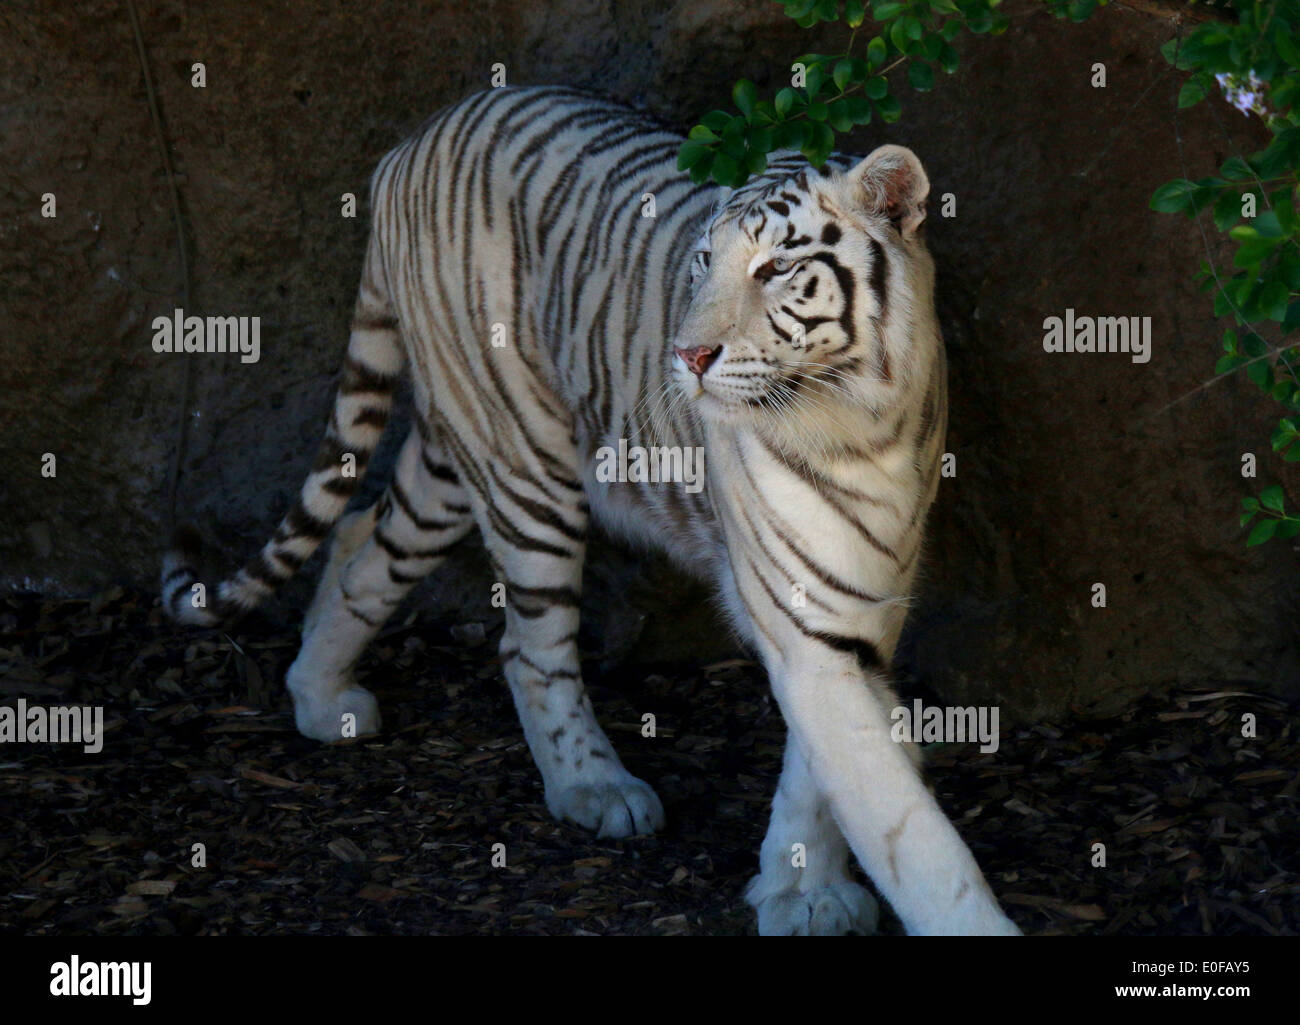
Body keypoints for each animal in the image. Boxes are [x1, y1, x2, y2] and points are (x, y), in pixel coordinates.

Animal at [159, 85, 1013, 936]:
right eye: (702, 263)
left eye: (776, 267)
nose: (687, 356)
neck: (863, 420)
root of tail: (414, 140)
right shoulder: (806, 622)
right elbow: (908, 829)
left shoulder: (863, 611)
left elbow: (823, 776)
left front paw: (801, 889)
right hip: (523, 463)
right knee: (525, 647)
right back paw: (594, 787)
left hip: (452, 453)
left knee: (359, 535)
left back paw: (318, 692)